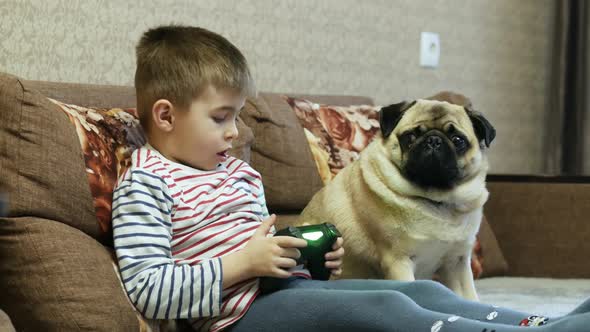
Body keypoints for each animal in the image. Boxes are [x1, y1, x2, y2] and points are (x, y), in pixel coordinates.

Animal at [296, 98, 494, 300]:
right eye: (410, 136)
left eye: (458, 140)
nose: (434, 140)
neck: (434, 200)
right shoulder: (398, 261)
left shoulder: (457, 263)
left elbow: (470, 296)